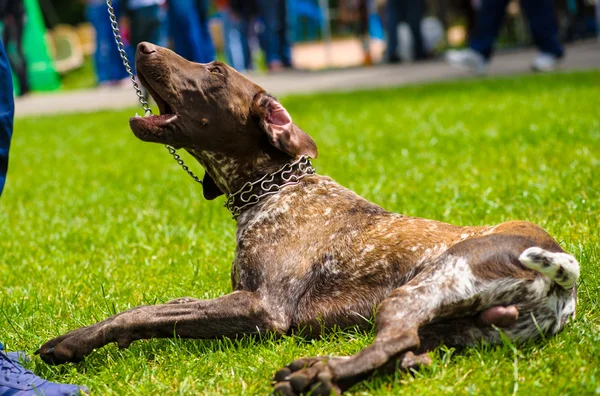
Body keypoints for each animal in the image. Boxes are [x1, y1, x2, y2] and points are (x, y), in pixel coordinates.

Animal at [35, 43, 580, 396]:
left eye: (215, 69)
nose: (142, 45)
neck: (273, 189)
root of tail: (563, 277)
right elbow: (161, 307)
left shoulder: (263, 309)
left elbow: (145, 313)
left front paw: (73, 344)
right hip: (462, 329)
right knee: (405, 353)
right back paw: (335, 371)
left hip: (420, 288)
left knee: (395, 341)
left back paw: (316, 376)